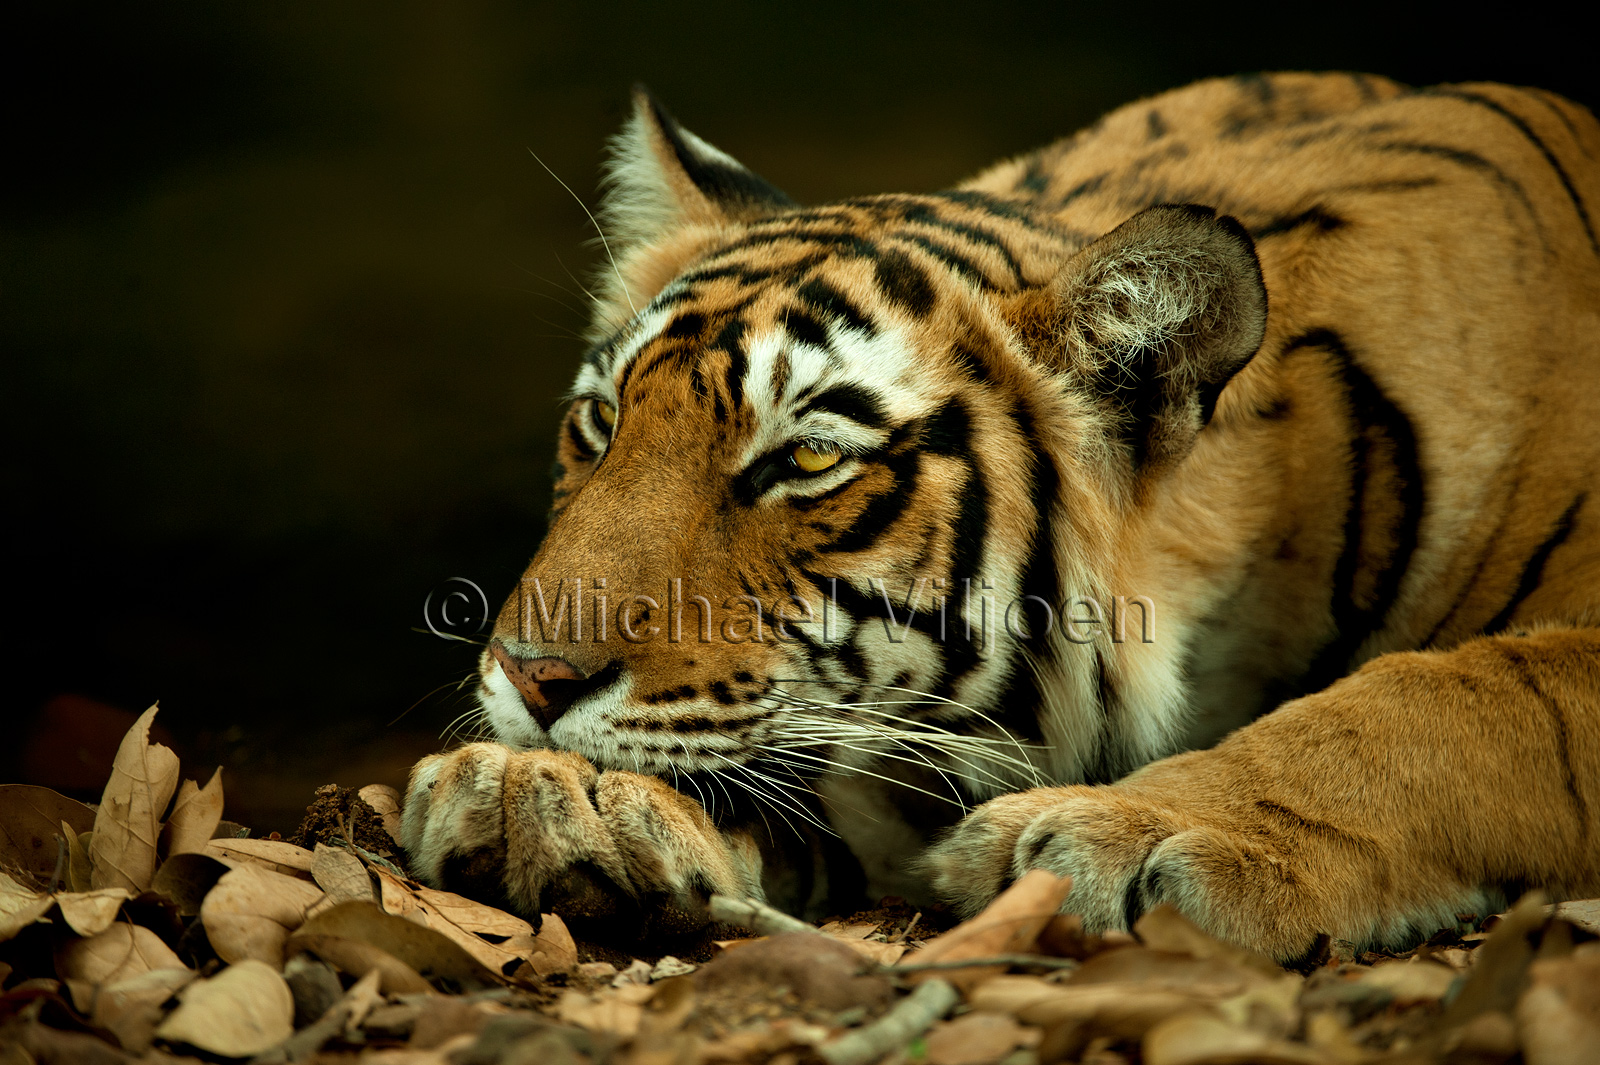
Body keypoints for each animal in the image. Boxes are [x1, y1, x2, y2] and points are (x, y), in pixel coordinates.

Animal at [401, 72, 1600, 963]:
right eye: (601, 422)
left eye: (808, 459)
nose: (530, 678)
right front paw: (551, 798)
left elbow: (1444, 704)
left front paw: (1138, 834)